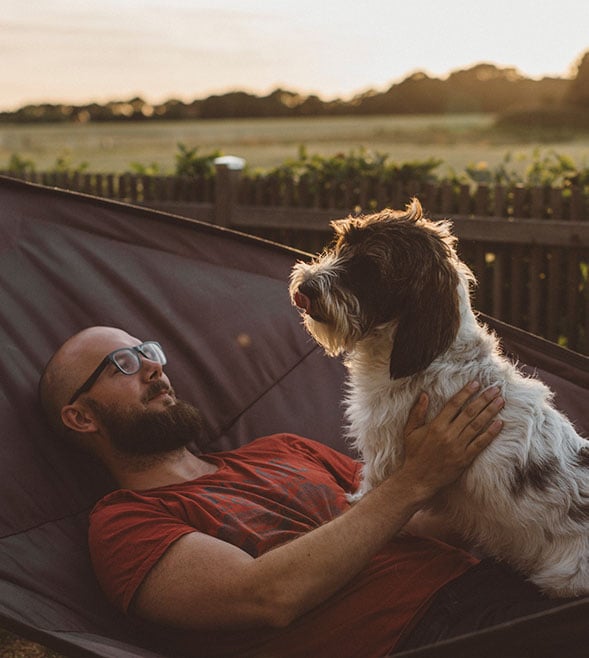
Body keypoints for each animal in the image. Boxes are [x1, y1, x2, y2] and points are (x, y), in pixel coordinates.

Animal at [290, 196, 588, 596]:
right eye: (342, 243)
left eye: (370, 268)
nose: (305, 287)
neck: (433, 354)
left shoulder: (385, 456)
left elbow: (371, 494)